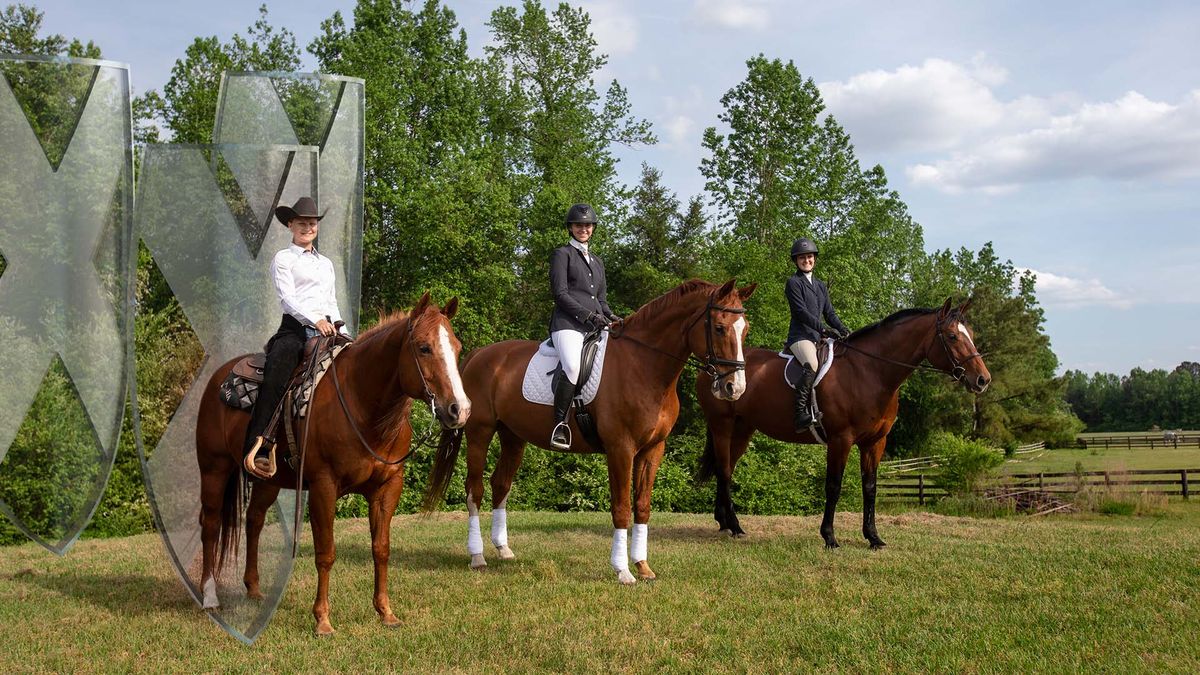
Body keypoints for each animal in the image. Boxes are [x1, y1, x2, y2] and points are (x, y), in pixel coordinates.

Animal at [194, 291, 470, 634]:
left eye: (457, 347)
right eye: (424, 347)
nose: (459, 409)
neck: (362, 404)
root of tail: (217, 379)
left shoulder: (388, 487)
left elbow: (381, 548)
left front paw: (386, 612)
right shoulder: (323, 486)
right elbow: (326, 553)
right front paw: (323, 619)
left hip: (268, 480)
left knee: (254, 520)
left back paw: (255, 590)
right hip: (214, 468)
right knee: (211, 523)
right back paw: (209, 596)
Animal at [427, 278, 753, 583]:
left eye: (745, 330)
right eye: (720, 328)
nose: (734, 388)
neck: (644, 365)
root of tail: (480, 354)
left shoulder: (652, 449)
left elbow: (642, 507)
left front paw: (643, 566)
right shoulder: (621, 449)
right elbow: (621, 508)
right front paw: (623, 571)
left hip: (513, 436)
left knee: (500, 484)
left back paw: (503, 549)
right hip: (480, 433)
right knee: (475, 490)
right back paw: (478, 556)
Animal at [700, 297, 988, 547]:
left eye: (972, 334)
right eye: (952, 336)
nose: (983, 380)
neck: (869, 372)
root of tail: (714, 366)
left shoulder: (875, 442)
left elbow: (870, 488)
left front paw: (873, 538)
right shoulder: (841, 439)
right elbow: (834, 486)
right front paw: (829, 537)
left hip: (743, 430)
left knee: (727, 468)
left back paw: (724, 523)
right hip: (722, 426)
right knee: (724, 471)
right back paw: (735, 526)